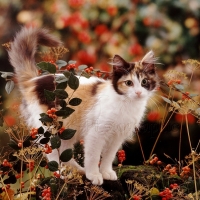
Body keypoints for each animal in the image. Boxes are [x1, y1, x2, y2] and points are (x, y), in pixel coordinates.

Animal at [7, 26, 159, 184]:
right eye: (129, 83)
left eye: (144, 82)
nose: (138, 92)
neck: (126, 104)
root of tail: (33, 81)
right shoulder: (95, 133)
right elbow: (93, 157)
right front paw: (94, 175)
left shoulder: (117, 137)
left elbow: (108, 156)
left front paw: (106, 172)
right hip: (49, 127)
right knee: (53, 154)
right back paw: (65, 172)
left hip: (65, 130)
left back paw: (76, 170)